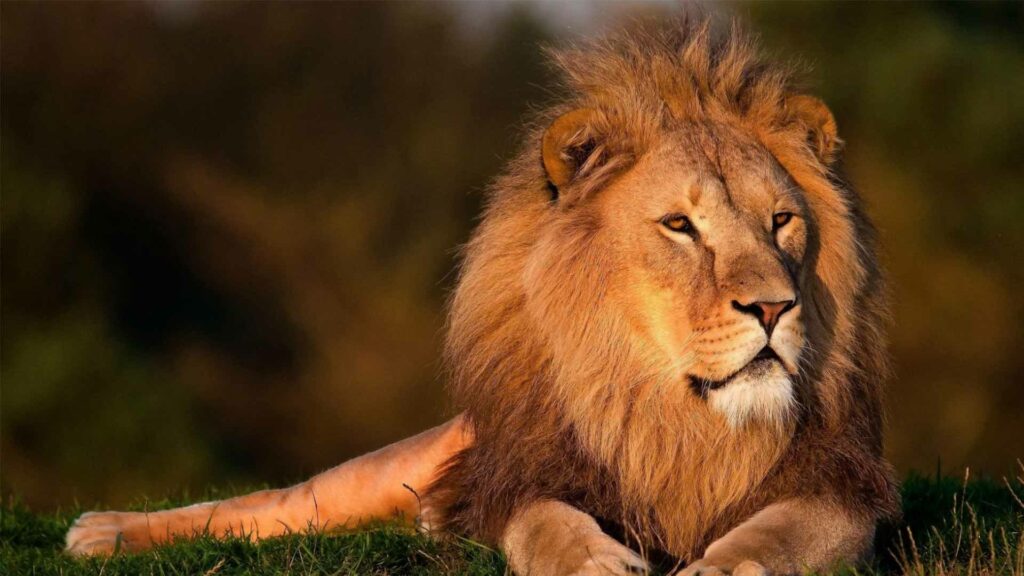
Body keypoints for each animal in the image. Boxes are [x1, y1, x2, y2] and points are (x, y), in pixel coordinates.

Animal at [65, 19, 899, 575]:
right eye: (680, 226)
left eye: (781, 221)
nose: (773, 308)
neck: (672, 417)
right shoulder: (519, 478)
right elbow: (545, 522)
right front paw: (591, 561)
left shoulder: (842, 489)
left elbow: (780, 533)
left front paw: (724, 563)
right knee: (269, 506)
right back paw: (102, 531)